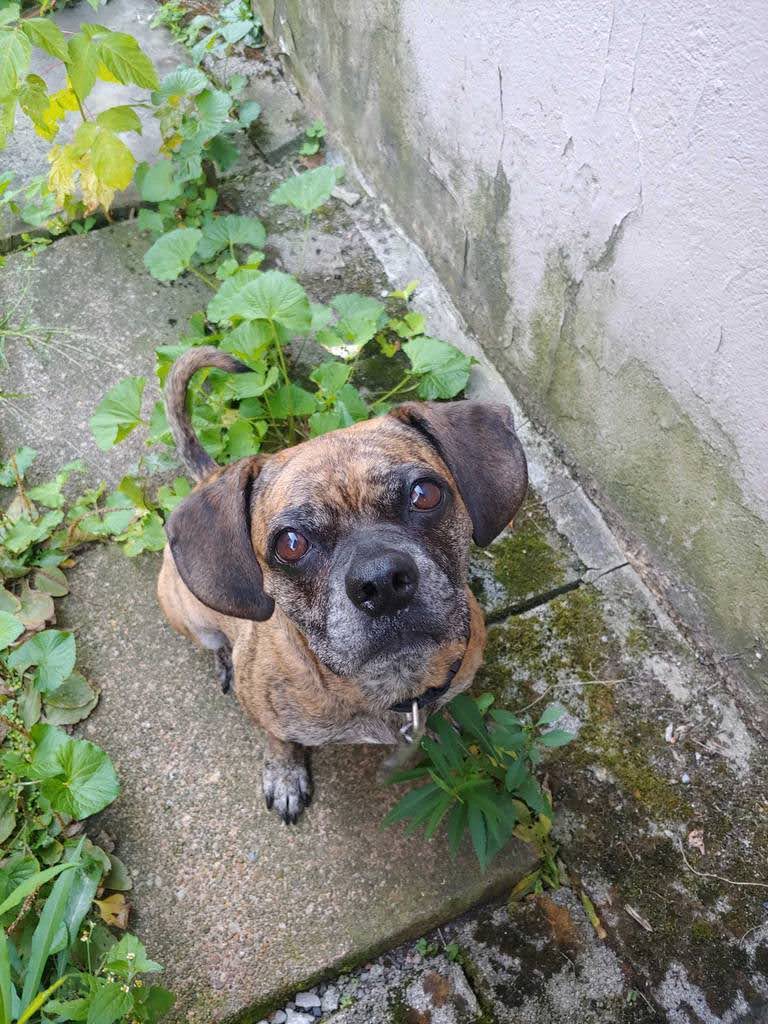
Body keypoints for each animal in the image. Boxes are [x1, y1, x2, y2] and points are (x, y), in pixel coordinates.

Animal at [156, 350, 528, 823]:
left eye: (424, 493)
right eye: (290, 543)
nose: (382, 581)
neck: (392, 684)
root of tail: (210, 474)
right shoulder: (267, 714)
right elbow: (279, 740)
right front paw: (285, 774)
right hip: (193, 620)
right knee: (215, 643)